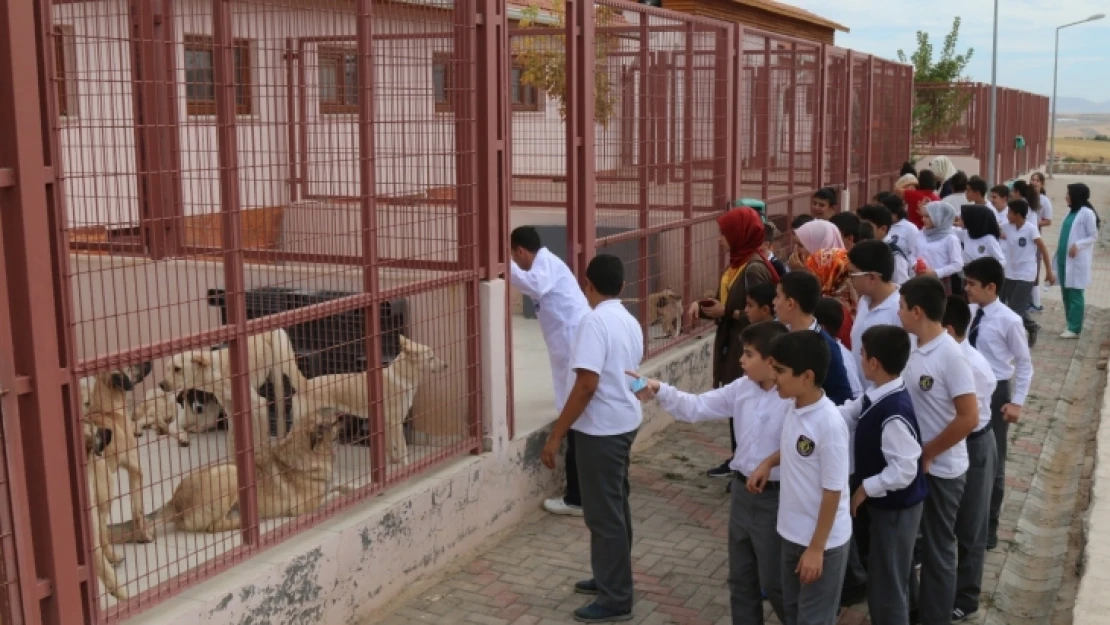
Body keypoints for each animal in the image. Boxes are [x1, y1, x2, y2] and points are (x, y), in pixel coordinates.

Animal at [108, 408, 344, 535]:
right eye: (337, 420)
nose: (346, 415)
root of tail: (176, 502)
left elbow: (339, 486)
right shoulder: (304, 506)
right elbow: (332, 494)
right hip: (229, 473)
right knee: (214, 526)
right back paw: (250, 522)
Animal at [299, 337, 450, 464]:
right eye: (431, 358)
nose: (446, 365)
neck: (402, 376)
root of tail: (306, 384)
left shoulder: (387, 423)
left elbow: (390, 446)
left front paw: (394, 462)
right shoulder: (396, 422)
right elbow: (403, 448)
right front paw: (406, 467)